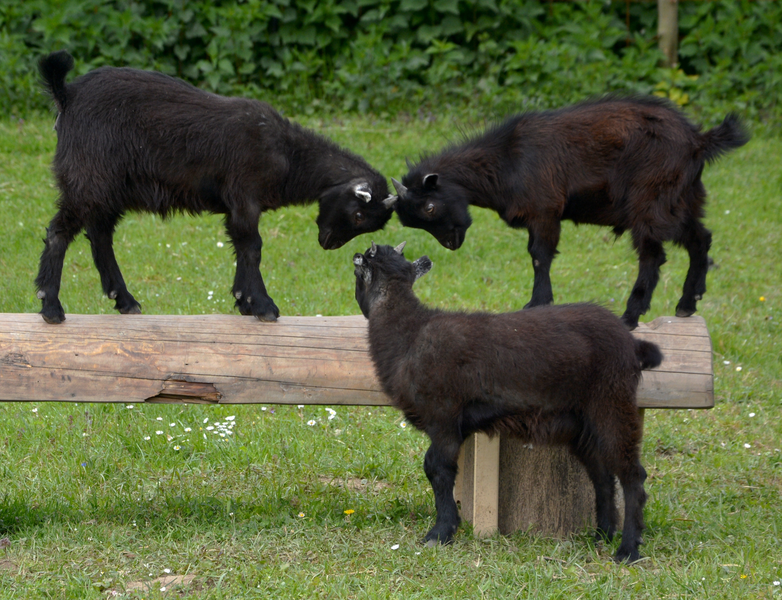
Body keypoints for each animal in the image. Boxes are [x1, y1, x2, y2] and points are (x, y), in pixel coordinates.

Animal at [35, 51, 398, 324]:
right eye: (359, 215)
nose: (328, 244)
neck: (287, 155)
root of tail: (67, 95)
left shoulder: (237, 206)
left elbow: (240, 246)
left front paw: (243, 301)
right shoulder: (244, 197)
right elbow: (252, 247)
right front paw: (263, 305)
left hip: (107, 189)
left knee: (100, 236)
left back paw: (124, 300)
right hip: (87, 180)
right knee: (59, 233)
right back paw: (51, 306)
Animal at [358, 240, 664, 564]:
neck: (409, 334)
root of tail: (633, 344)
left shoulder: (443, 417)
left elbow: (437, 469)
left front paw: (440, 533)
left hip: (613, 404)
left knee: (632, 475)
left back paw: (628, 549)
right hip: (583, 426)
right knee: (603, 477)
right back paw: (602, 535)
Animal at [396, 95, 752, 328]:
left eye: (429, 206)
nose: (450, 243)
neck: (507, 159)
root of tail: (698, 141)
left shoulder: (544, 211)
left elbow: (539, 256)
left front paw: (536, 302)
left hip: (651, 203)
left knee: (653, 257)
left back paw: (630, 315)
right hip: (683, 200)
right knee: (700, 239)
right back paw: (687, 303)